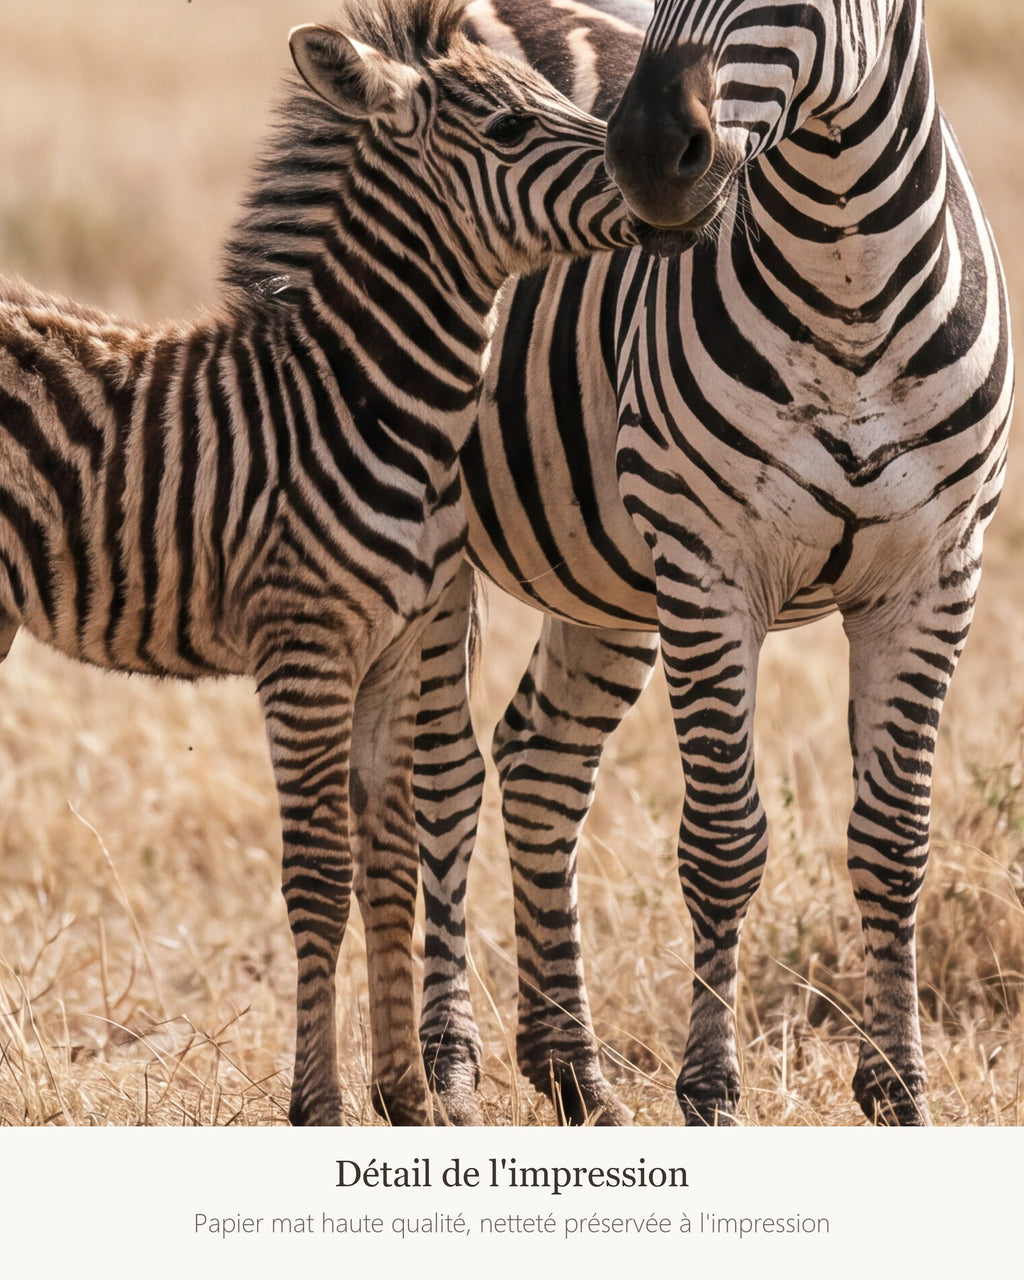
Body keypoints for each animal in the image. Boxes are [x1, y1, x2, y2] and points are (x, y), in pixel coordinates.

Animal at [0, 0, 642, 1126]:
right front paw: (320, 1104)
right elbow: (318, 873)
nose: (685, 176)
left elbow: (388, 864)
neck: (365, 396)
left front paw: (409, 1097)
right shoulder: (303, 649)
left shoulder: (390, 652)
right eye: (511, 129)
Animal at [415, 0, 1014, 1125]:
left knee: (541, 761)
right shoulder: (708, 570)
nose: (644, 157)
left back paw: (572, 1071)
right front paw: (710, 1090)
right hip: (421, 530)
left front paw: (898, 1090)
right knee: (431, 773)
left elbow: (894, 841)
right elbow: (725, 842)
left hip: (602, 575)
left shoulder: (933, 578)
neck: (850, 283)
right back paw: (444, 1068)